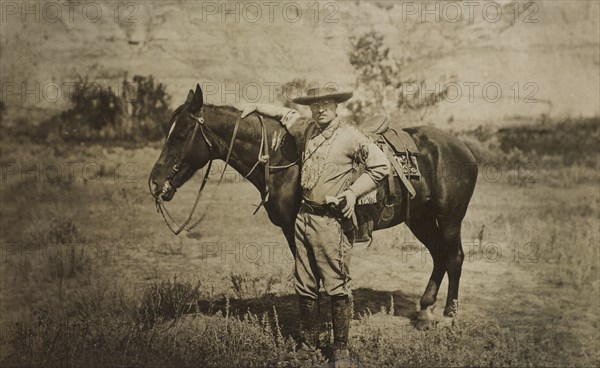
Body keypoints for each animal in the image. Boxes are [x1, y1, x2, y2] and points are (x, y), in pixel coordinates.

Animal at [149, 84, 478, 322]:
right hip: (420, 219)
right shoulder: (293, 230)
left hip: (451, 219)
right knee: (438, 255)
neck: (281, 158)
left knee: (454, 257)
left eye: (180, 135)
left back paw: (449, 315)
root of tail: (464, 149)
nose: (155, 182)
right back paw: (425, 310)